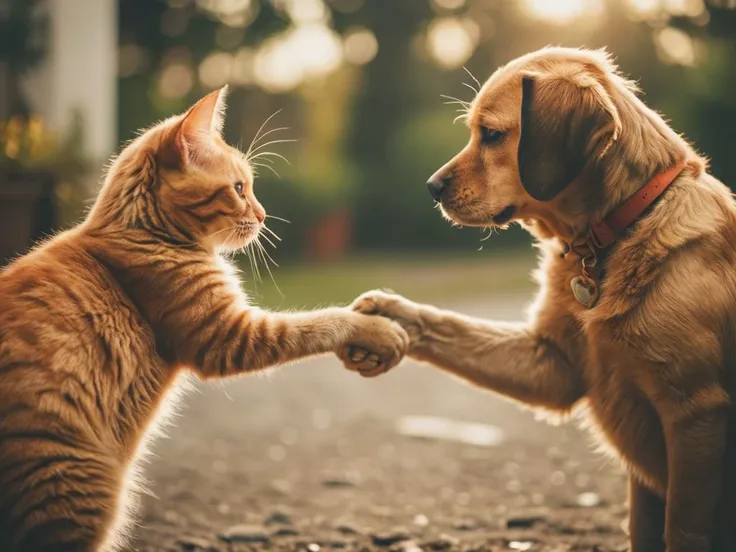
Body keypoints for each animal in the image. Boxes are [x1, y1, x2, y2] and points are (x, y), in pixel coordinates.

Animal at [0, 88, 408, 548]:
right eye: (238, 188)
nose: (263, 215)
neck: (143, 235)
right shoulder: (229, 336)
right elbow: (320, 323)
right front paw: (375, 330)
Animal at [342, 47, 736, 552]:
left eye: (491, 135)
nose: (430, 187)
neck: (619, 231)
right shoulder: (554, 364)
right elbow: (453, 326)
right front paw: (385, 316)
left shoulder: (695, 413)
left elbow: (683, 527)